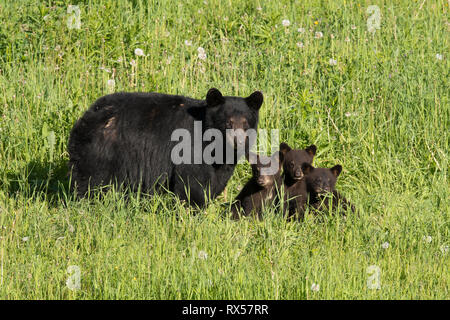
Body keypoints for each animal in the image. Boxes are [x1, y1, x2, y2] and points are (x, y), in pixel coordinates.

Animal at [67, 89, 264, 206]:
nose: (238, 142)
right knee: (91, 183)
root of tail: (85, 118)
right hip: (101, 152)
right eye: (227, 123)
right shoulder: (190, 148)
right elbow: (192, 184)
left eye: (245, 123)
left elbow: (216, 180)